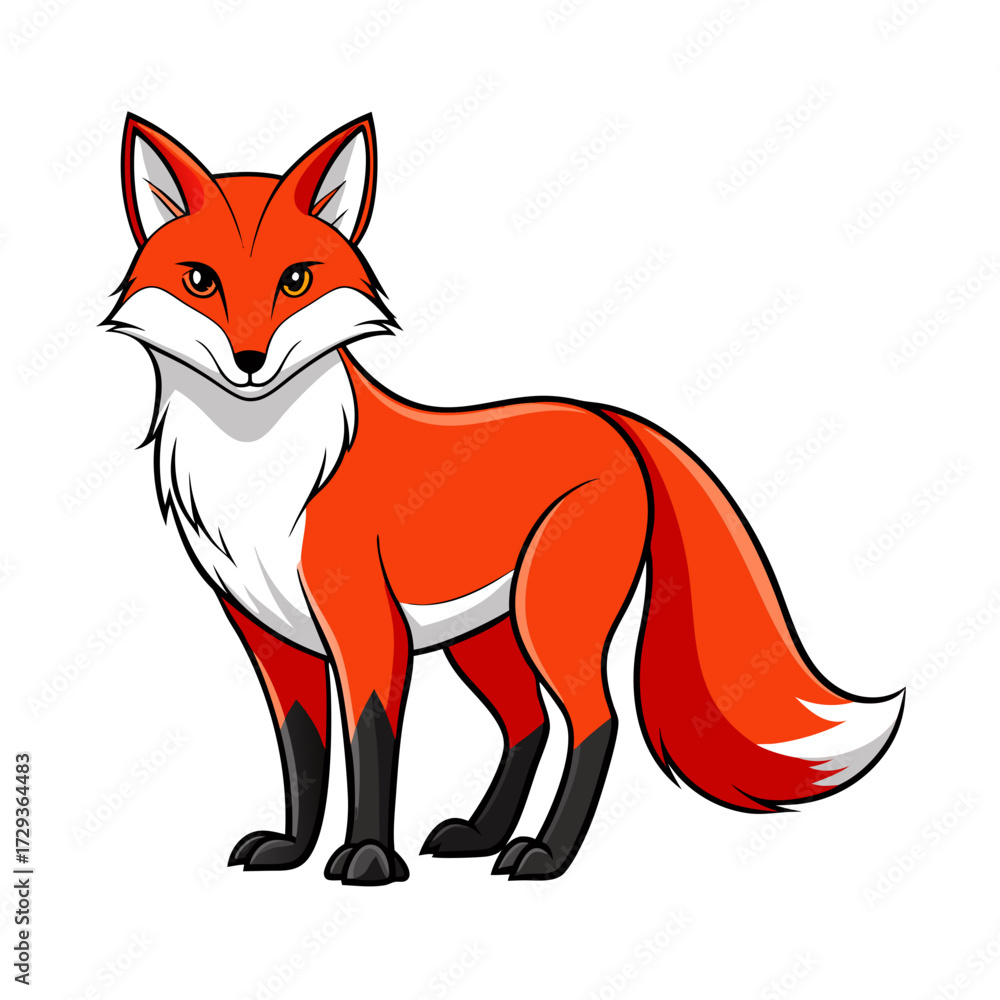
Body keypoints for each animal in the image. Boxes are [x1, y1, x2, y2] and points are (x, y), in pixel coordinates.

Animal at [105, 112, 904, 885]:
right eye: (200, 281)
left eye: (296, 280)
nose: (250, 361)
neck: (260, 473)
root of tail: (609, 418)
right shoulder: (267, 634)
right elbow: (303, 753)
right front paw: (293, 848)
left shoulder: (366, 628)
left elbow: (370, 744)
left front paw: (368, 860)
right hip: (486, 638)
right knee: (529, 725)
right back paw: (484, 835)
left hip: (550, 620)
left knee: (595, 723)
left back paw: (545, 854)